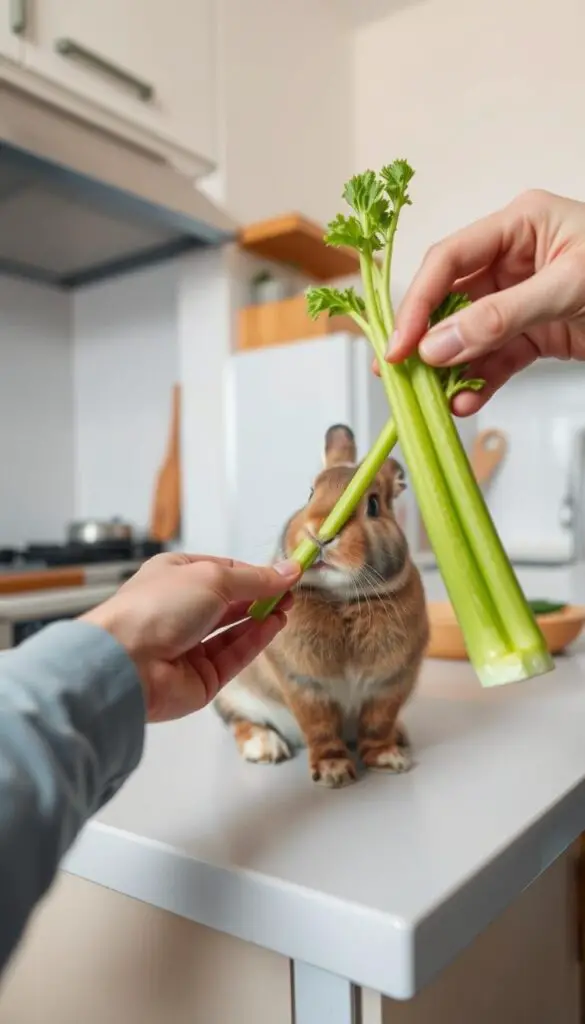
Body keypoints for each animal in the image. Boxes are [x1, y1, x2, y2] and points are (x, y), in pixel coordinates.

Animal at [214, 424, 429, 788]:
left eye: (373, 505)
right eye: (311, 493)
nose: (320, 533)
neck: (341, 598)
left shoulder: (390, 684)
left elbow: (378, 723)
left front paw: (388, 760)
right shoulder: (305, 685)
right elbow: (320, 728)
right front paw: (333, 773)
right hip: (233, 694)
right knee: (241, 722)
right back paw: (265, 747)